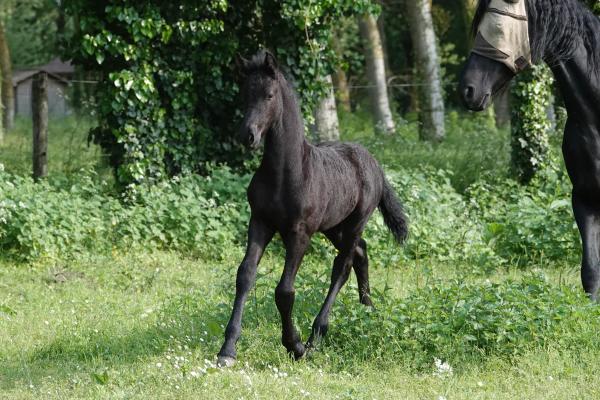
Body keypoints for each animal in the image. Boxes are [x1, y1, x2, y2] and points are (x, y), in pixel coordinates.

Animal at [216, 50, 408, 366]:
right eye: (244, 94)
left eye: (269, 95)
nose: (248, 136)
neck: (285, 173)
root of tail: (373, 162)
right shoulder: (260, 222)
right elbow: (244, 276)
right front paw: (228, 349)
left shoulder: (299, 233)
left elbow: (284, 291)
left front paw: (294, 345)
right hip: (334, 226)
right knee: (361, 252)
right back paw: (368, 310)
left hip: (355, 222)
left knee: (342, 266)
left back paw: (317, 335)